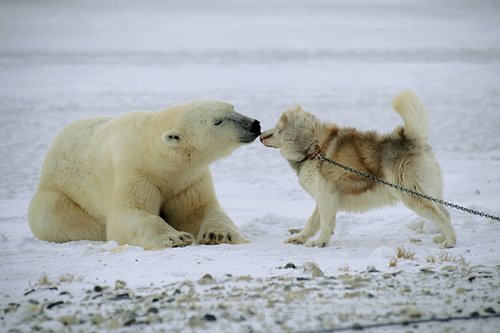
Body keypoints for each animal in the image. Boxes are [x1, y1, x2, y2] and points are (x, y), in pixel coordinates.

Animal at [29, 101, 262, 249]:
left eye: (232, 107)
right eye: (217, 121)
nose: (254, 124)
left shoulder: (187, 179)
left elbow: (199, 209)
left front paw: (219, 234)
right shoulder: (133, 172)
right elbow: (131, 213)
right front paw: (175, 237)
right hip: (57, 193)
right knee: (53, 214)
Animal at [262, 91, 458, 246]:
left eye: (278, 129)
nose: (261, 135)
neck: (312, 147)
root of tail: (413, 139)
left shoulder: (326, 196)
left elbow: (325, 223)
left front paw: (320, 242)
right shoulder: (324, 198)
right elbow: (312, 222)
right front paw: (300, 239)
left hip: (411, 195)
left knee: (440, 215)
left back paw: (450, 242)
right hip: (426, 193)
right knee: (446, 213)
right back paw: (443, 238)